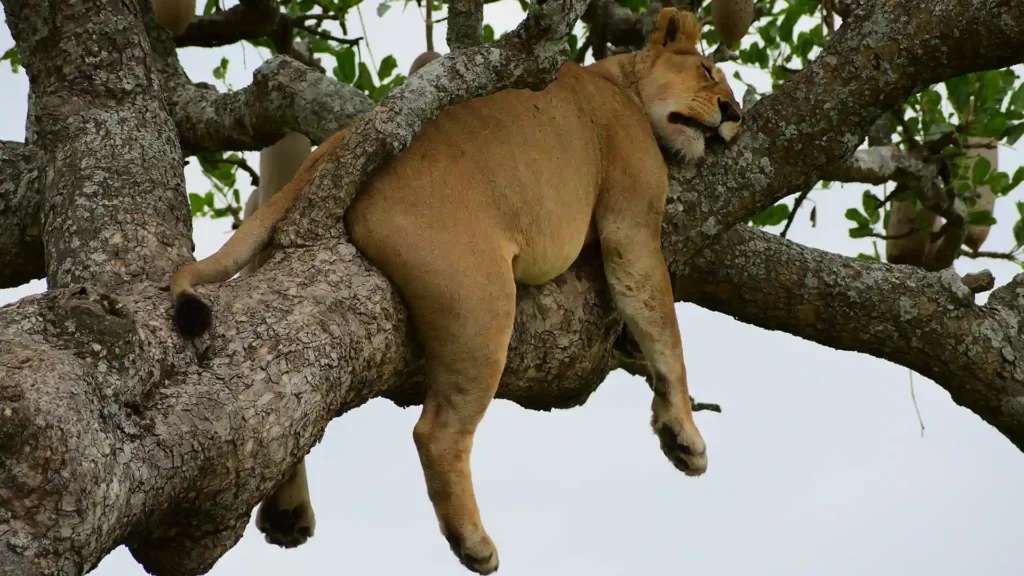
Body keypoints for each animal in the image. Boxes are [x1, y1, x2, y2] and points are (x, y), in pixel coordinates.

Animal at [168, 8, 743, 574]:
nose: (735, 113)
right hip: (480, 300)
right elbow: (665, 332)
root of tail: (328, 150)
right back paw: (471, 542)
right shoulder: (631, 216)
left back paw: (288, 514)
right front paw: (684, 435)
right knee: (437, 431)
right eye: (708, 72)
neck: (617, 80)